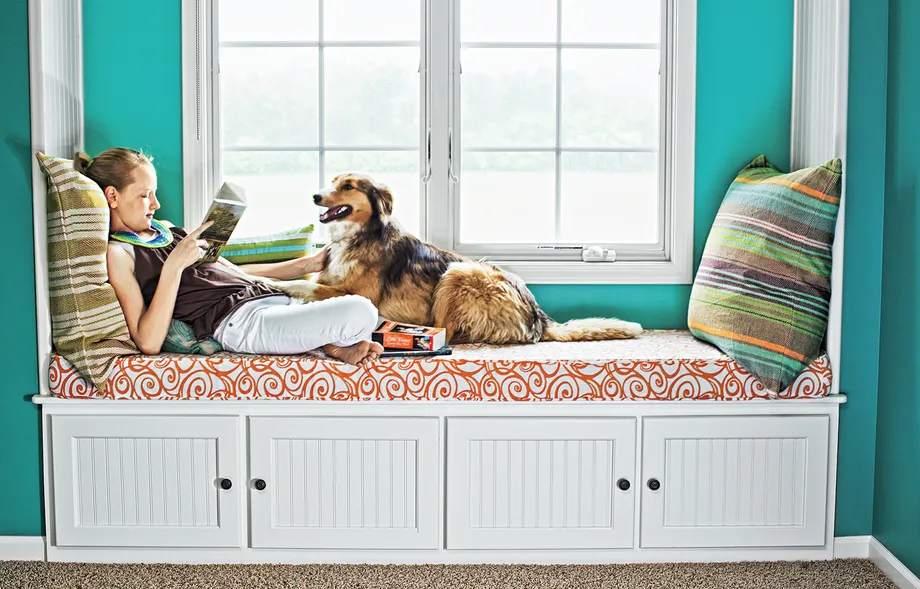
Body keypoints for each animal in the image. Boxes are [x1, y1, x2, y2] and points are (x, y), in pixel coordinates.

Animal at [274, 172, 640, 342]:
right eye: (333, 182)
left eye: (348, 186)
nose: (315, 195)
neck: (359, 236)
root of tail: (538, 316)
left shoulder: (359, 294)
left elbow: (305, 286)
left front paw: (269, 280)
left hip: (458, 273)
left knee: (446, 330)